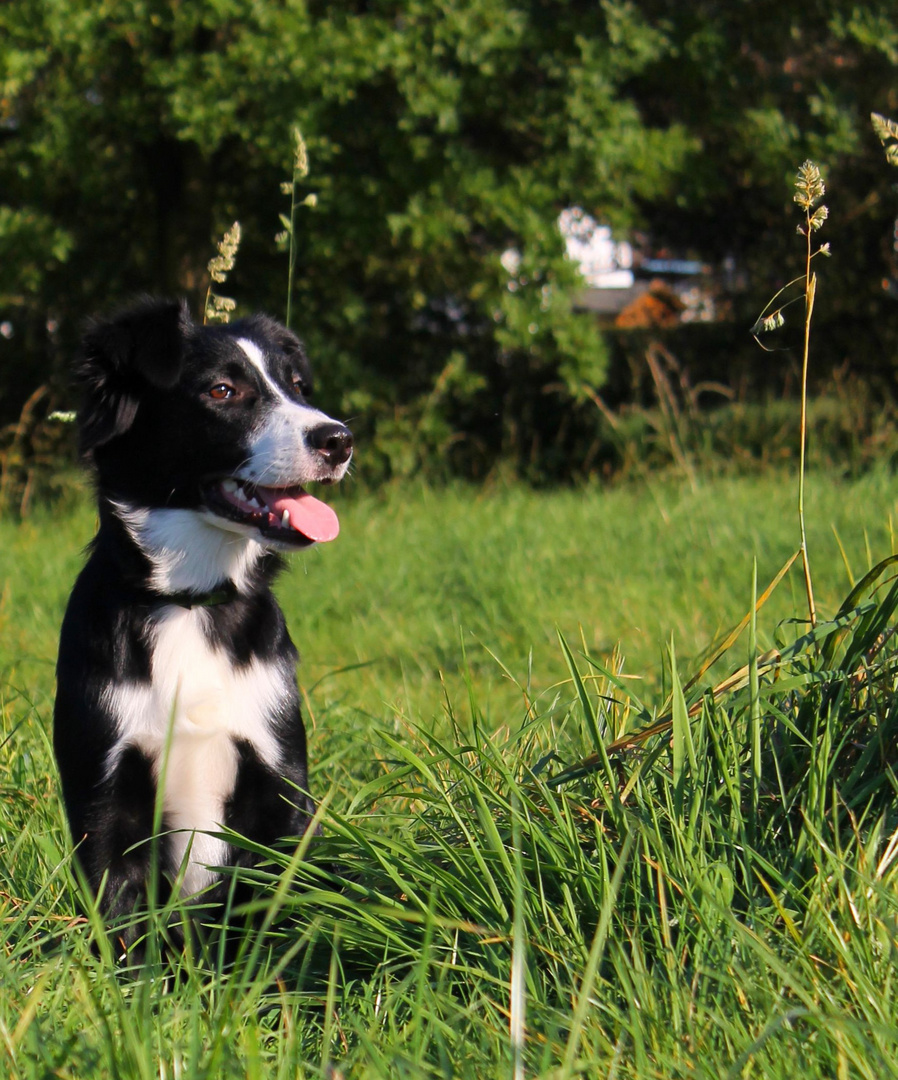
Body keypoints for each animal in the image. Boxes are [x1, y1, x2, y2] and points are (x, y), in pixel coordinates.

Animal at [52, 298, 354, 946]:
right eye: (222, 390)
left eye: (297, 387)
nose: (339, 439)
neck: (190, 603)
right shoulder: (104, 793)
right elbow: (126, 932)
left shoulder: (279, 779)